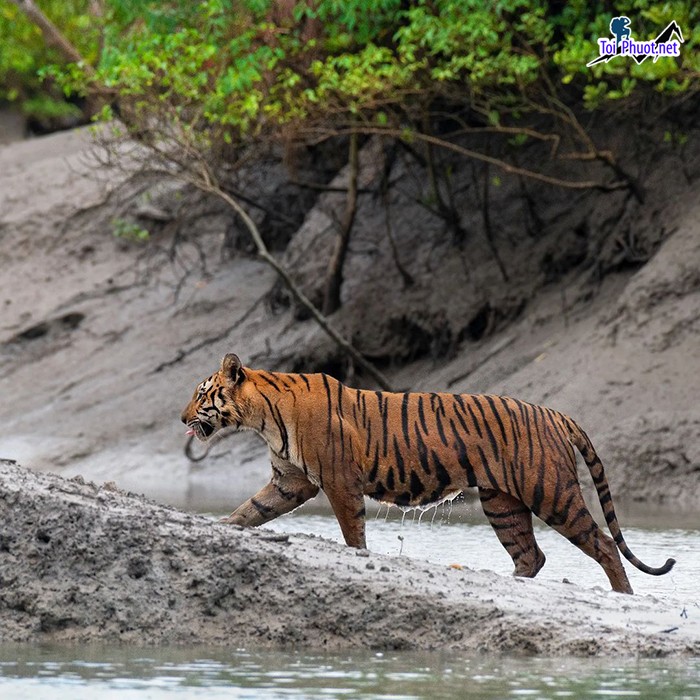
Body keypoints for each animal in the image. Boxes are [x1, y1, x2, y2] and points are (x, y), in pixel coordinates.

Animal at [183, 352, 676, 592]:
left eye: (201, 394)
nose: (181, 417)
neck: (260, 416)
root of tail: (555, 412)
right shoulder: (290, 481)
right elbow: (250, 511)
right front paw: (221, 527)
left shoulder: (339, 483)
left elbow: (352, 534)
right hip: (502, 503)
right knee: (531, 556)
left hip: (551, 491)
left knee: (603, 544)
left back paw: (624, 596)